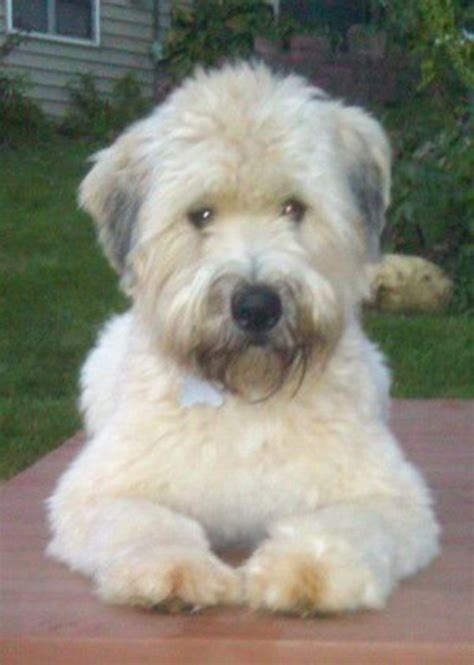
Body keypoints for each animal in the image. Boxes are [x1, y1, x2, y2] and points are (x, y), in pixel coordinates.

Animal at [46, 62, 438, 612]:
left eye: (294, 208)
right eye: (201, 214)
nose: (257, 308)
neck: (248, 395)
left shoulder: (388, 494)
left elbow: (346, 525)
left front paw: (305, 571)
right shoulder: (100, 488)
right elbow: (144, 522)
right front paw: (172, 571)